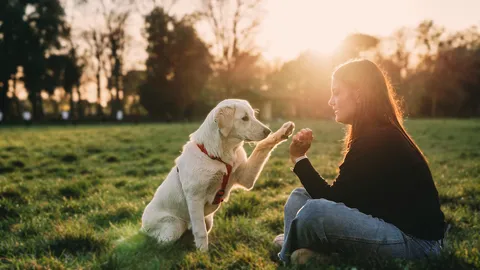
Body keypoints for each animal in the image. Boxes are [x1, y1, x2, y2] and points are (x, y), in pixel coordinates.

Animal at [141, 98, 294, 251]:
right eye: (244, 118)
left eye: (253, 115)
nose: (268, 130)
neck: (220, 156)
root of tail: (142, 225)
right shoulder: (195, 197)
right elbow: (200, 232)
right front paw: (202, 253)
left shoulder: (246, 178)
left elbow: (262, 146)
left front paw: (283, 132)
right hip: (174, 227)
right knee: (160, 243)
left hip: (207, 220)